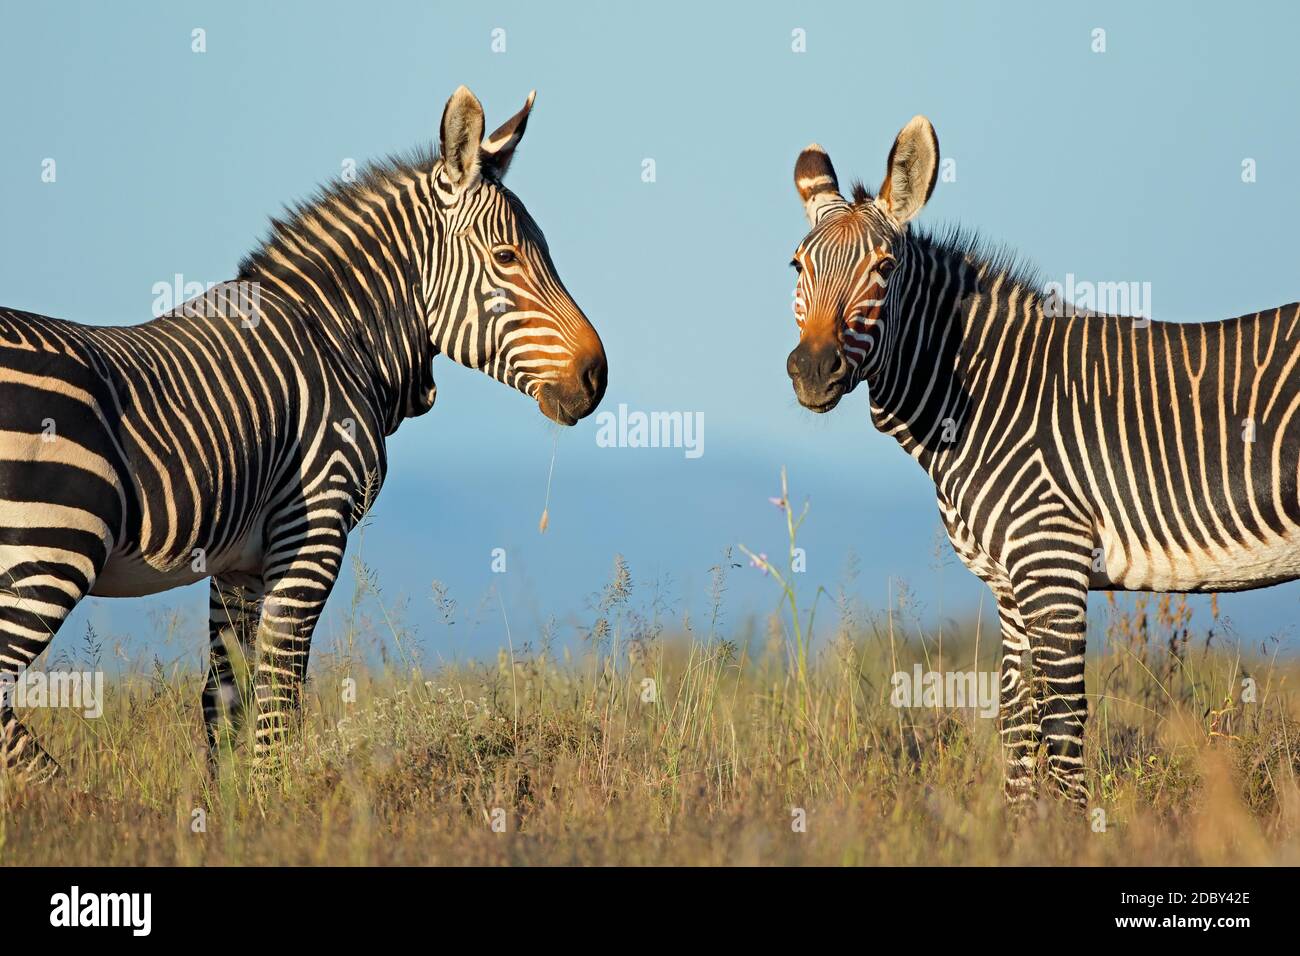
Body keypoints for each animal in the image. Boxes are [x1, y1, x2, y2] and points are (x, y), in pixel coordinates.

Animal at [0, 85, 608, 780]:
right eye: (506, 258)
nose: (596, 376)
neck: (337, 339)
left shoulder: (237, 565)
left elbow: (225, 701)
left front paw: (230, 802)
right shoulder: (311, 531)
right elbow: (278, 698)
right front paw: (279, 798)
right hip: (51, 545)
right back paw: (67, 791)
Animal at [785, 115, 1300, 811]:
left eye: (884, 268)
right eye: (797, 265)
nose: (813, 371)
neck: (982, 397)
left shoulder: (1051, 563)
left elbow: (1062, 726)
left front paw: (1074, 827)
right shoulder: (1008, 584)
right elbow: (1015, 726)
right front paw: (1024, 826)